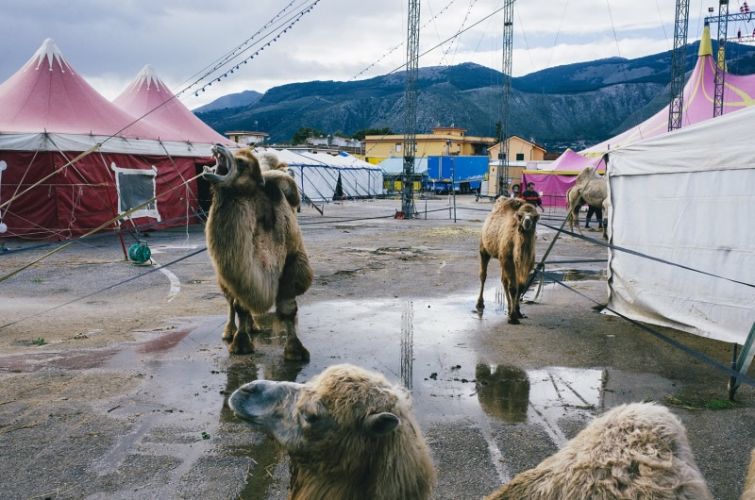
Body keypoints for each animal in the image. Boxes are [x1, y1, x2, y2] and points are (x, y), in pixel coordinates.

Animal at [202, 145, 312, 360]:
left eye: (242, 163)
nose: (218, 146)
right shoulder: (234, 274)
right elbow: (239, 306)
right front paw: (240, 343)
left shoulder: (292, 262)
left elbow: (288, 309)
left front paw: (295, 351)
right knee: (230, 301)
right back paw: (230, 331)